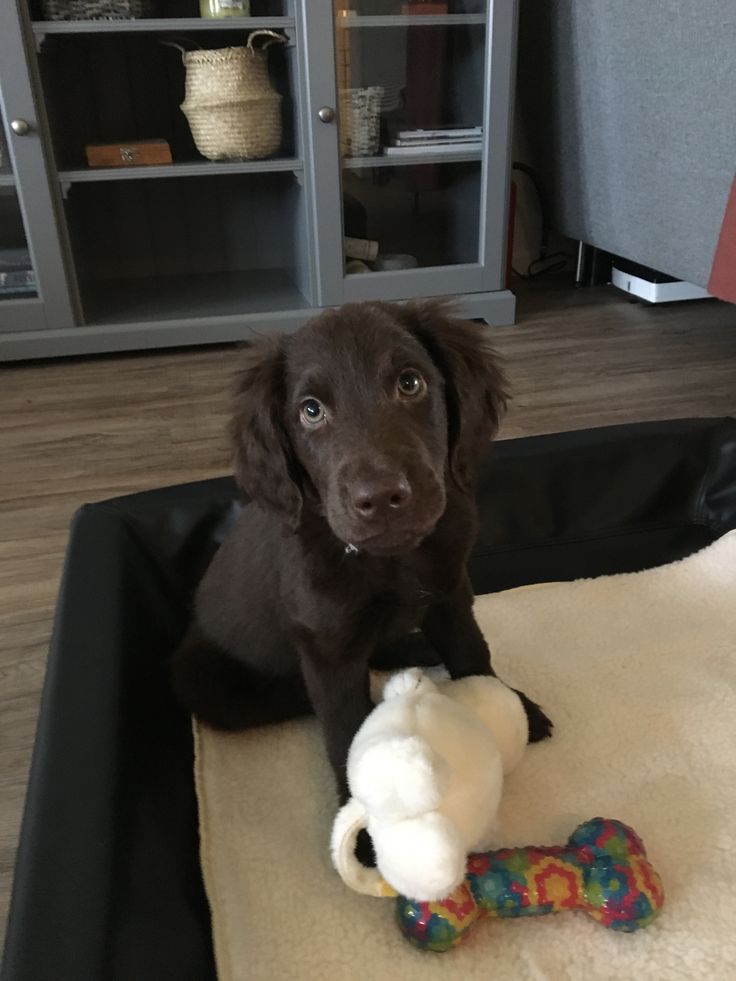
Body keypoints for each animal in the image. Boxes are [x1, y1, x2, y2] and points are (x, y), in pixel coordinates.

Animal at [172, 300, 552, 804]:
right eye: (311, 411)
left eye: (410, 383)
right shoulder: (327, 649)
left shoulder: (451, 591)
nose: (381, 497)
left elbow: (474, 653)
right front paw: (360, 814)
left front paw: (514, 706)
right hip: (201, 677)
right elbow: (344, 725)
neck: (392, 560)